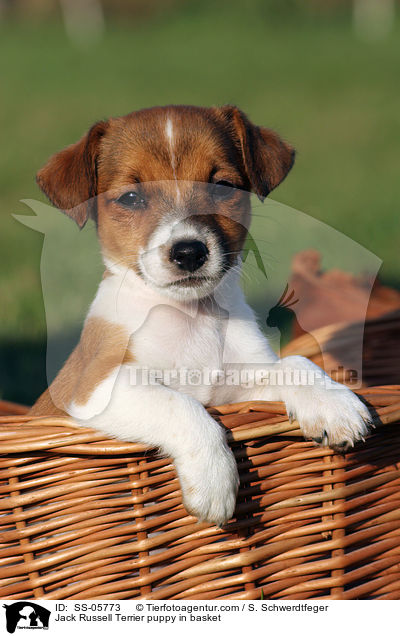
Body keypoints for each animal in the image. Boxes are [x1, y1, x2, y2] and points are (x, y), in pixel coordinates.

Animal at [31, 105, 372, 528]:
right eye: (131, 197)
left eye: (223, 187)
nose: (189, 252)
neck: (191, 319)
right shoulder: (92, 388)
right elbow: (180, 404)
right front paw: (213, 481)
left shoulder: (240, 394)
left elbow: (294, 362)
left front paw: (333, 404)